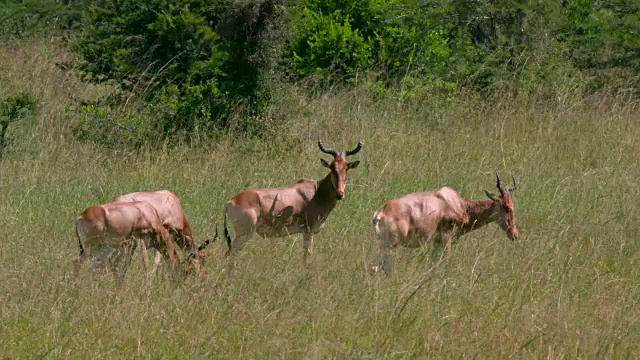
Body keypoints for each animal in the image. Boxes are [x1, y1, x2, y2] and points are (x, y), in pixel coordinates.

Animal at [222, 138, 362, 264]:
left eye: (346, 168)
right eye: (332, 167)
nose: (340, 194)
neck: (316, 192)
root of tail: (230, 202)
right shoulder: (308, 231)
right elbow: (307, 258)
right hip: (244, 234)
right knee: (229, 255)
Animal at [372, 173, 516, 274]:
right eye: (507, 207)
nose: (515, 235)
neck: (457, 202)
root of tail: (380, 213)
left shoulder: (437, 241)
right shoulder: (447, 236)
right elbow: (446, 260)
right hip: (391, 245)